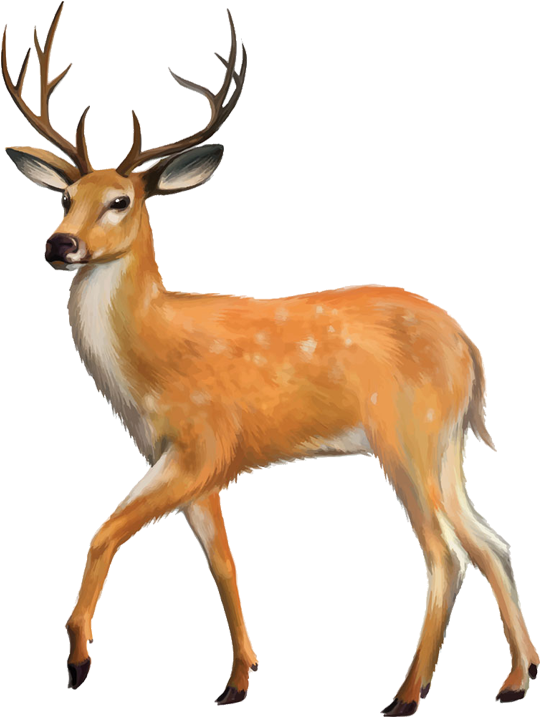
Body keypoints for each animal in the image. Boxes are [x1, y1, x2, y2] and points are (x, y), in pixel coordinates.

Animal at [2, 3, 538, 713]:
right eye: (66, 199)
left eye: (120, 201)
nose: (59, 245)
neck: (148, 359)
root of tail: (471, 353)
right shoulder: (179, 458)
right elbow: (222, 560)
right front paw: (237, 679)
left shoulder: (205, 444)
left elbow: (105, 531)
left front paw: (80, 659)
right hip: (447, 443)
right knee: (491, 543)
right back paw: (516, 679)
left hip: (406, 435)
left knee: (446, 553)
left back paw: (405, 695)